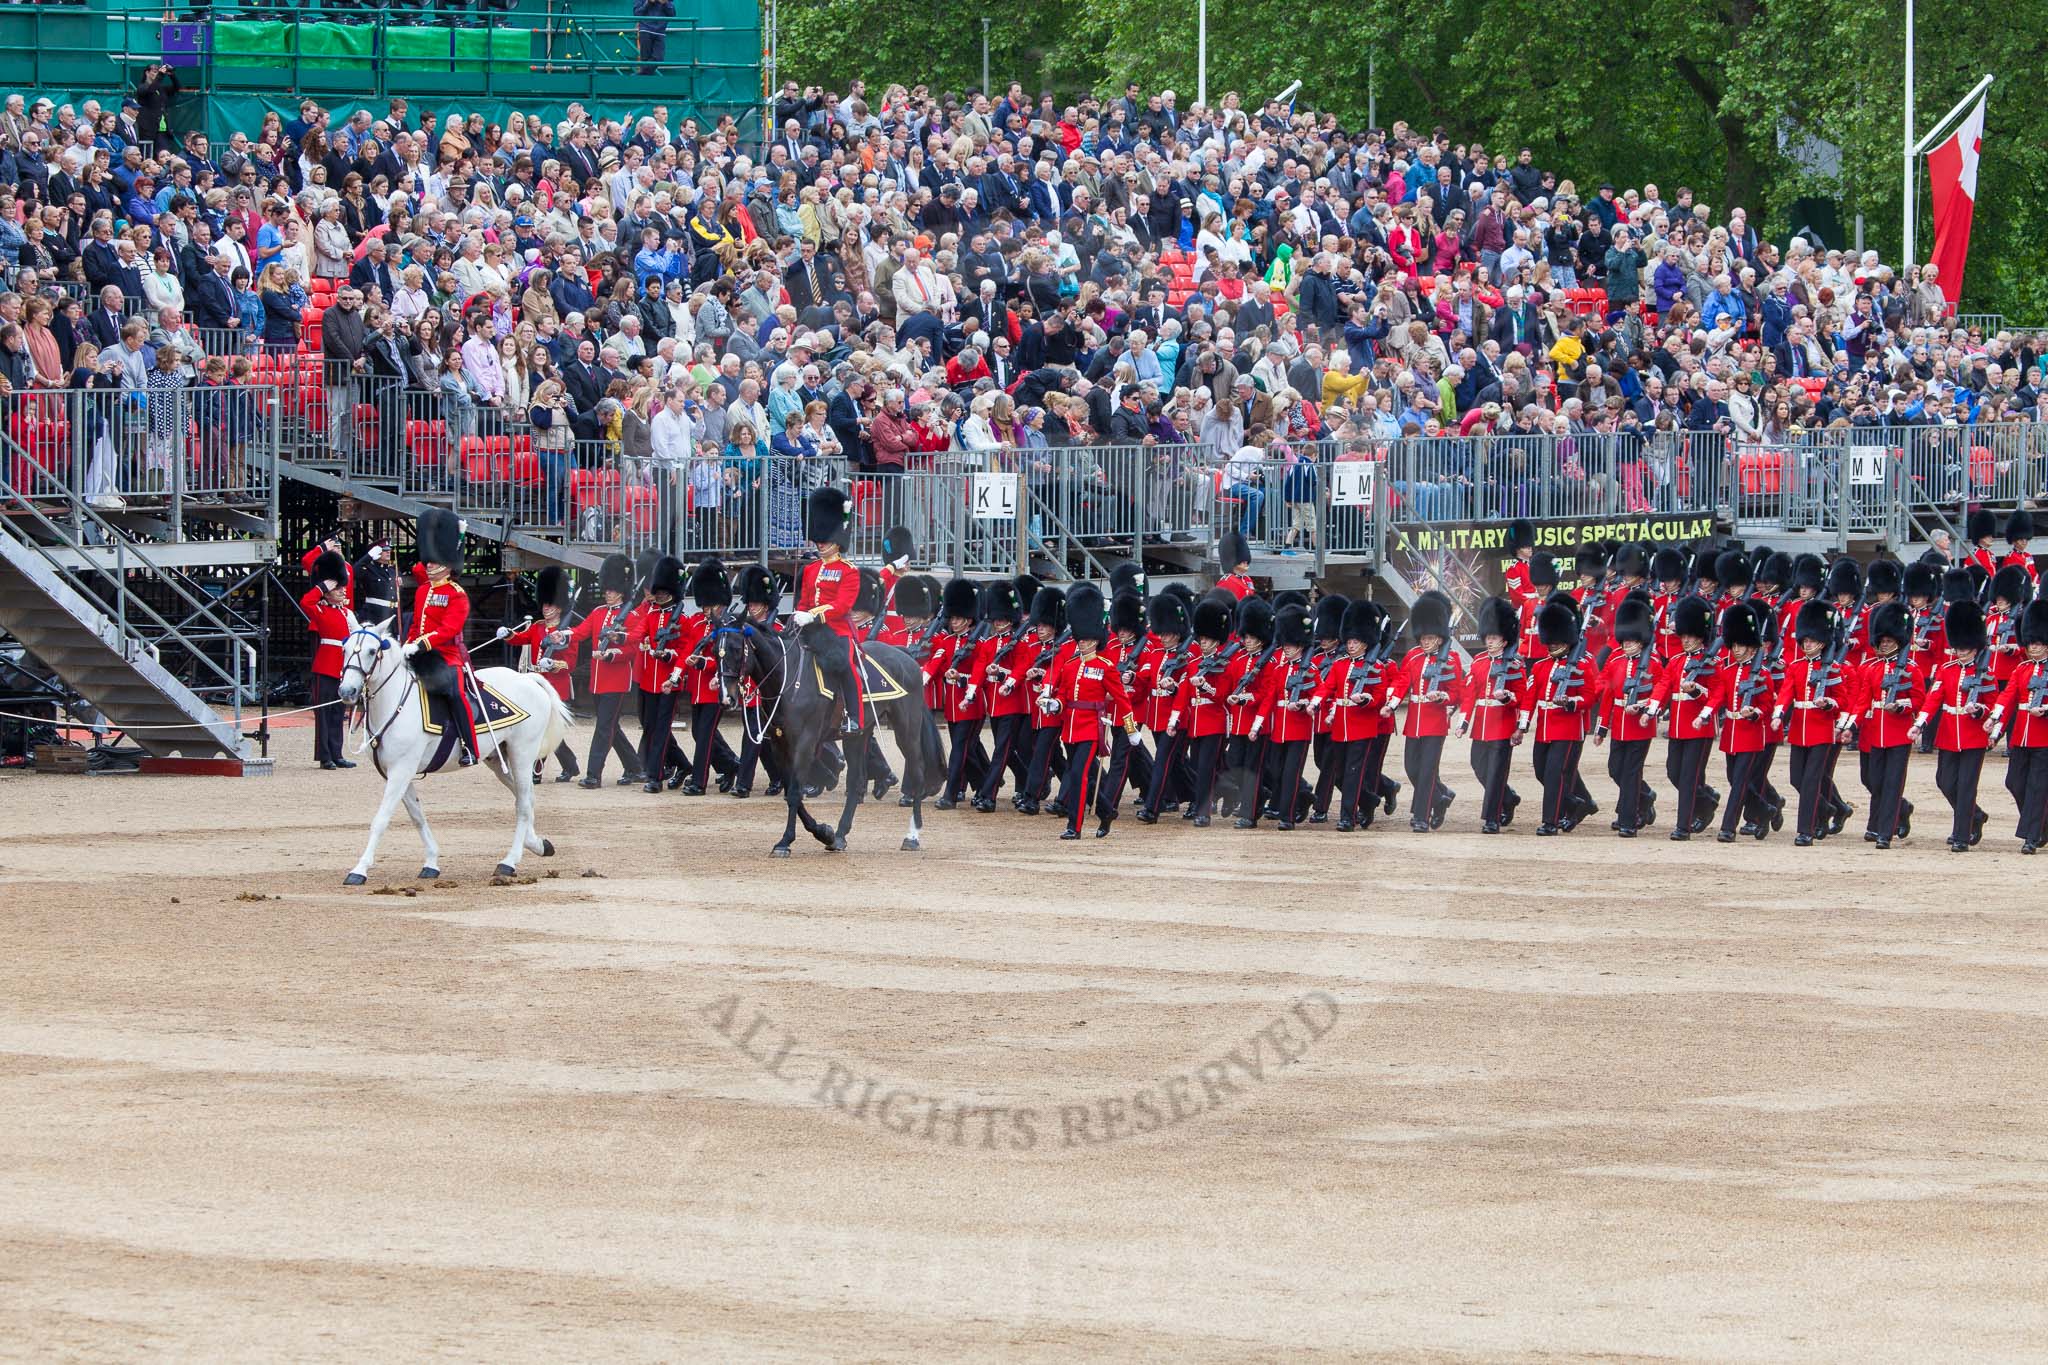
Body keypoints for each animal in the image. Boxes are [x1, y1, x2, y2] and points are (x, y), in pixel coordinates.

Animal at [335, 618, 573, 888]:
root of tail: (529, 679)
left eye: (372, 651)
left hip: (521, 753)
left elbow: (381, 819)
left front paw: (360, 869)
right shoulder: (394, 772)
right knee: (526, 798)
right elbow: (417, 815)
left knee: (522, 803)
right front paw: (431, 862)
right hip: (497, 758)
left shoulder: (401, 770)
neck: (395, 702)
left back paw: (509, 862)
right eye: (345, 649)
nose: (347, 691)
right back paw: (537, 844)